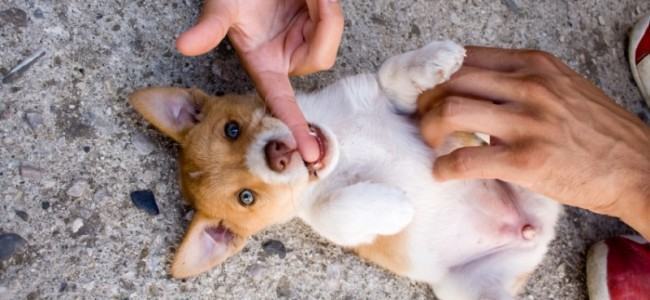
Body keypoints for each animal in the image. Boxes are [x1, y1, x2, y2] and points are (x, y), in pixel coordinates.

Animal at [130, 40, 556, 300]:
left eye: (231, 129)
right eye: (246, 197)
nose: (277, 154)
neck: (344, 141)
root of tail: (533, 232)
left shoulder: (388, 99)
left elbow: (390, 73)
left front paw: (433, 59)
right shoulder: (328, 219)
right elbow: (334, 209)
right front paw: (397, 206)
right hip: (470, 290)